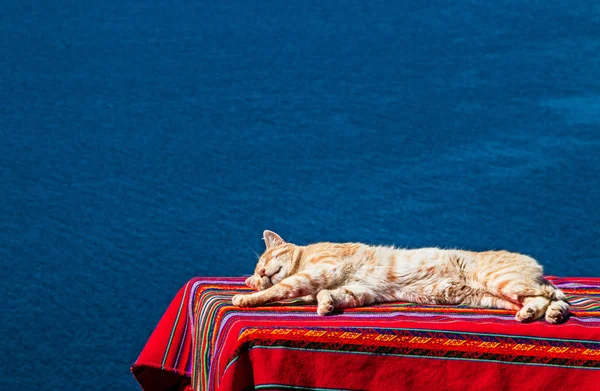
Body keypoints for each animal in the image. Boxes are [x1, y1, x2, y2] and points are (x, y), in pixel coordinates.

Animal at [232, 230, 568, 324]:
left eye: (266, 262)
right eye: (258, 273)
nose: (262, 273)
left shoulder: (320, 270)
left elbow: (285, 288)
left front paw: (246, 298)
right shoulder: (359, 291)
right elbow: (333, 295)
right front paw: (325, 304)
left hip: (500, 281)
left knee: (547, 295)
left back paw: (541, 313)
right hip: (492, 297)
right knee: (544, 299)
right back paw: (540, 314)